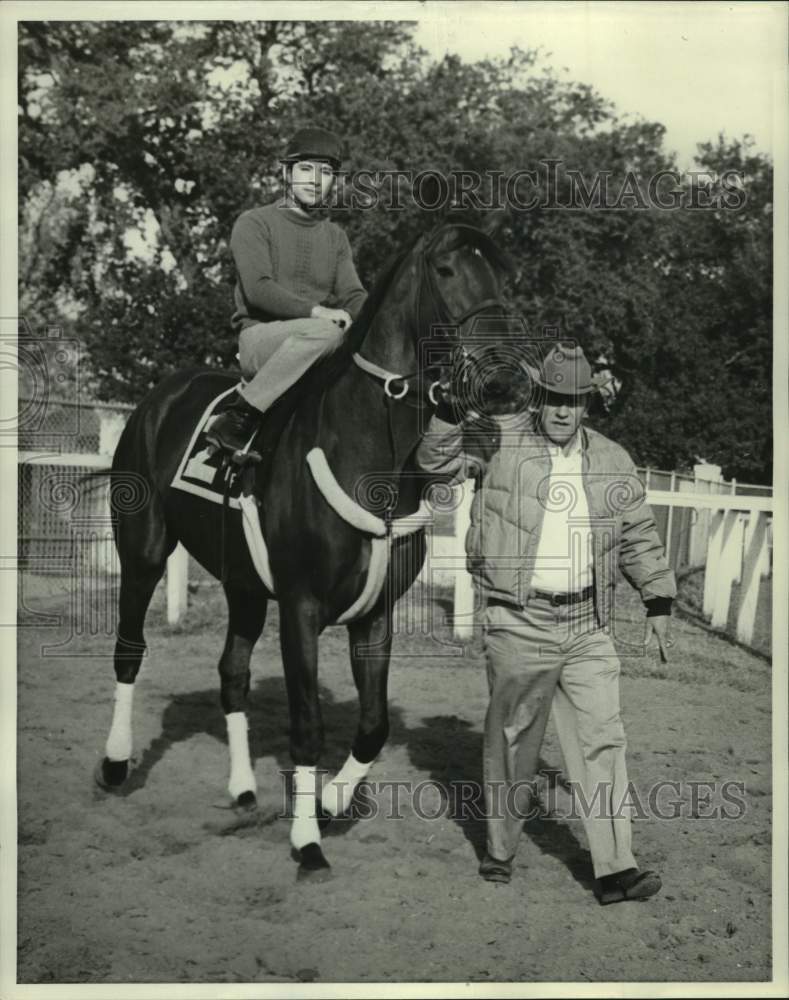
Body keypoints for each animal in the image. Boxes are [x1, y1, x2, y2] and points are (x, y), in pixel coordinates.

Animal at [98, 219, 508, 876]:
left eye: (504, 274)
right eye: (447, 271)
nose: (501, 376)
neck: (362, 447)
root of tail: (161, 397)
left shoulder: (375, 613)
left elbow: (373, 725)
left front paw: (333, 800)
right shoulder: (300, 608)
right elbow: (308, 724)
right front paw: (307, 839)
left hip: (242, 586)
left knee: (232, 673)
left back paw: (243, 787)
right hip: (142, 554)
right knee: (129, 652)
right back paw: (115, 764)